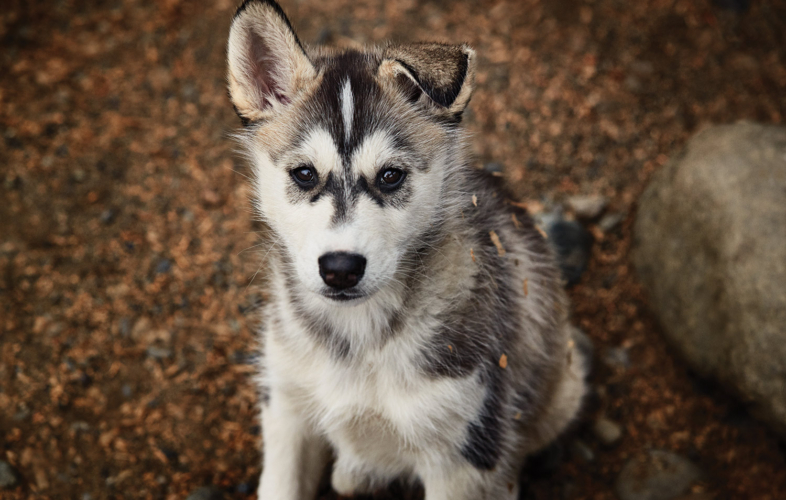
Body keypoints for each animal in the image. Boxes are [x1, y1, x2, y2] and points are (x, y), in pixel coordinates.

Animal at [225, 1, 580, 498]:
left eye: (391, 176)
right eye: (304, 174)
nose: (340, 268)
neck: (357, 340)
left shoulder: (464, 456)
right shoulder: (286, 410)